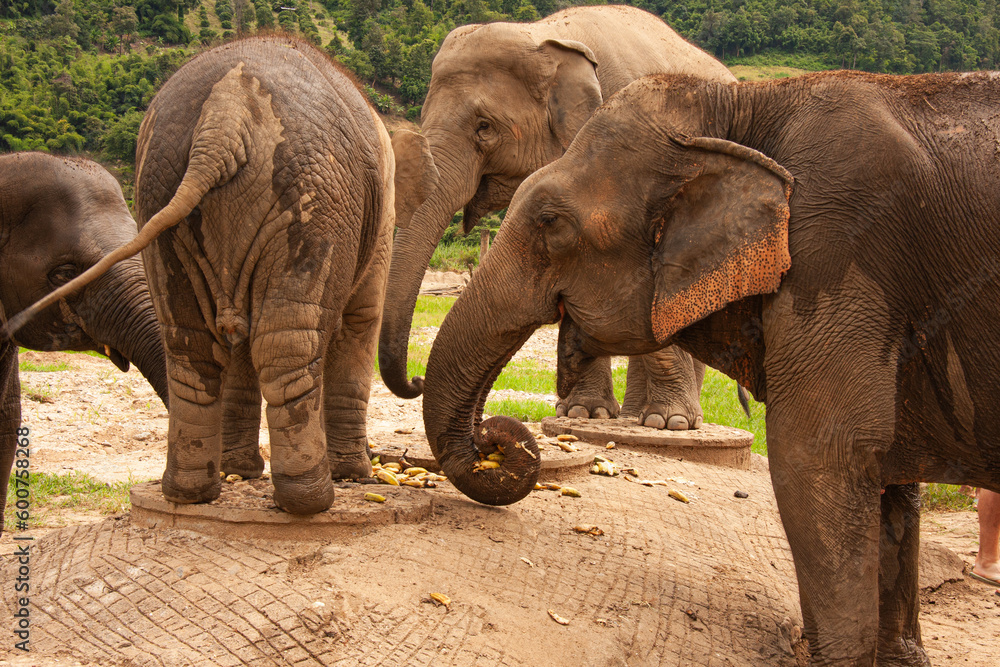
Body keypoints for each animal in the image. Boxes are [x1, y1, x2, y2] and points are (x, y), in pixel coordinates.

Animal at [384, 5, 735, 430]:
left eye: (484, 127)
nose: (415, 380)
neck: (544, 34)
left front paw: (671, 423)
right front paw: (585, 414)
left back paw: (666, 421)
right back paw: (635, 415)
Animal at [420, 70, 1000, 664]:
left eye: (550, 222)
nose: (491, 438)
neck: (741, 107)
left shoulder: (840, 253)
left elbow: (819, 455)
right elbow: (889, 487)